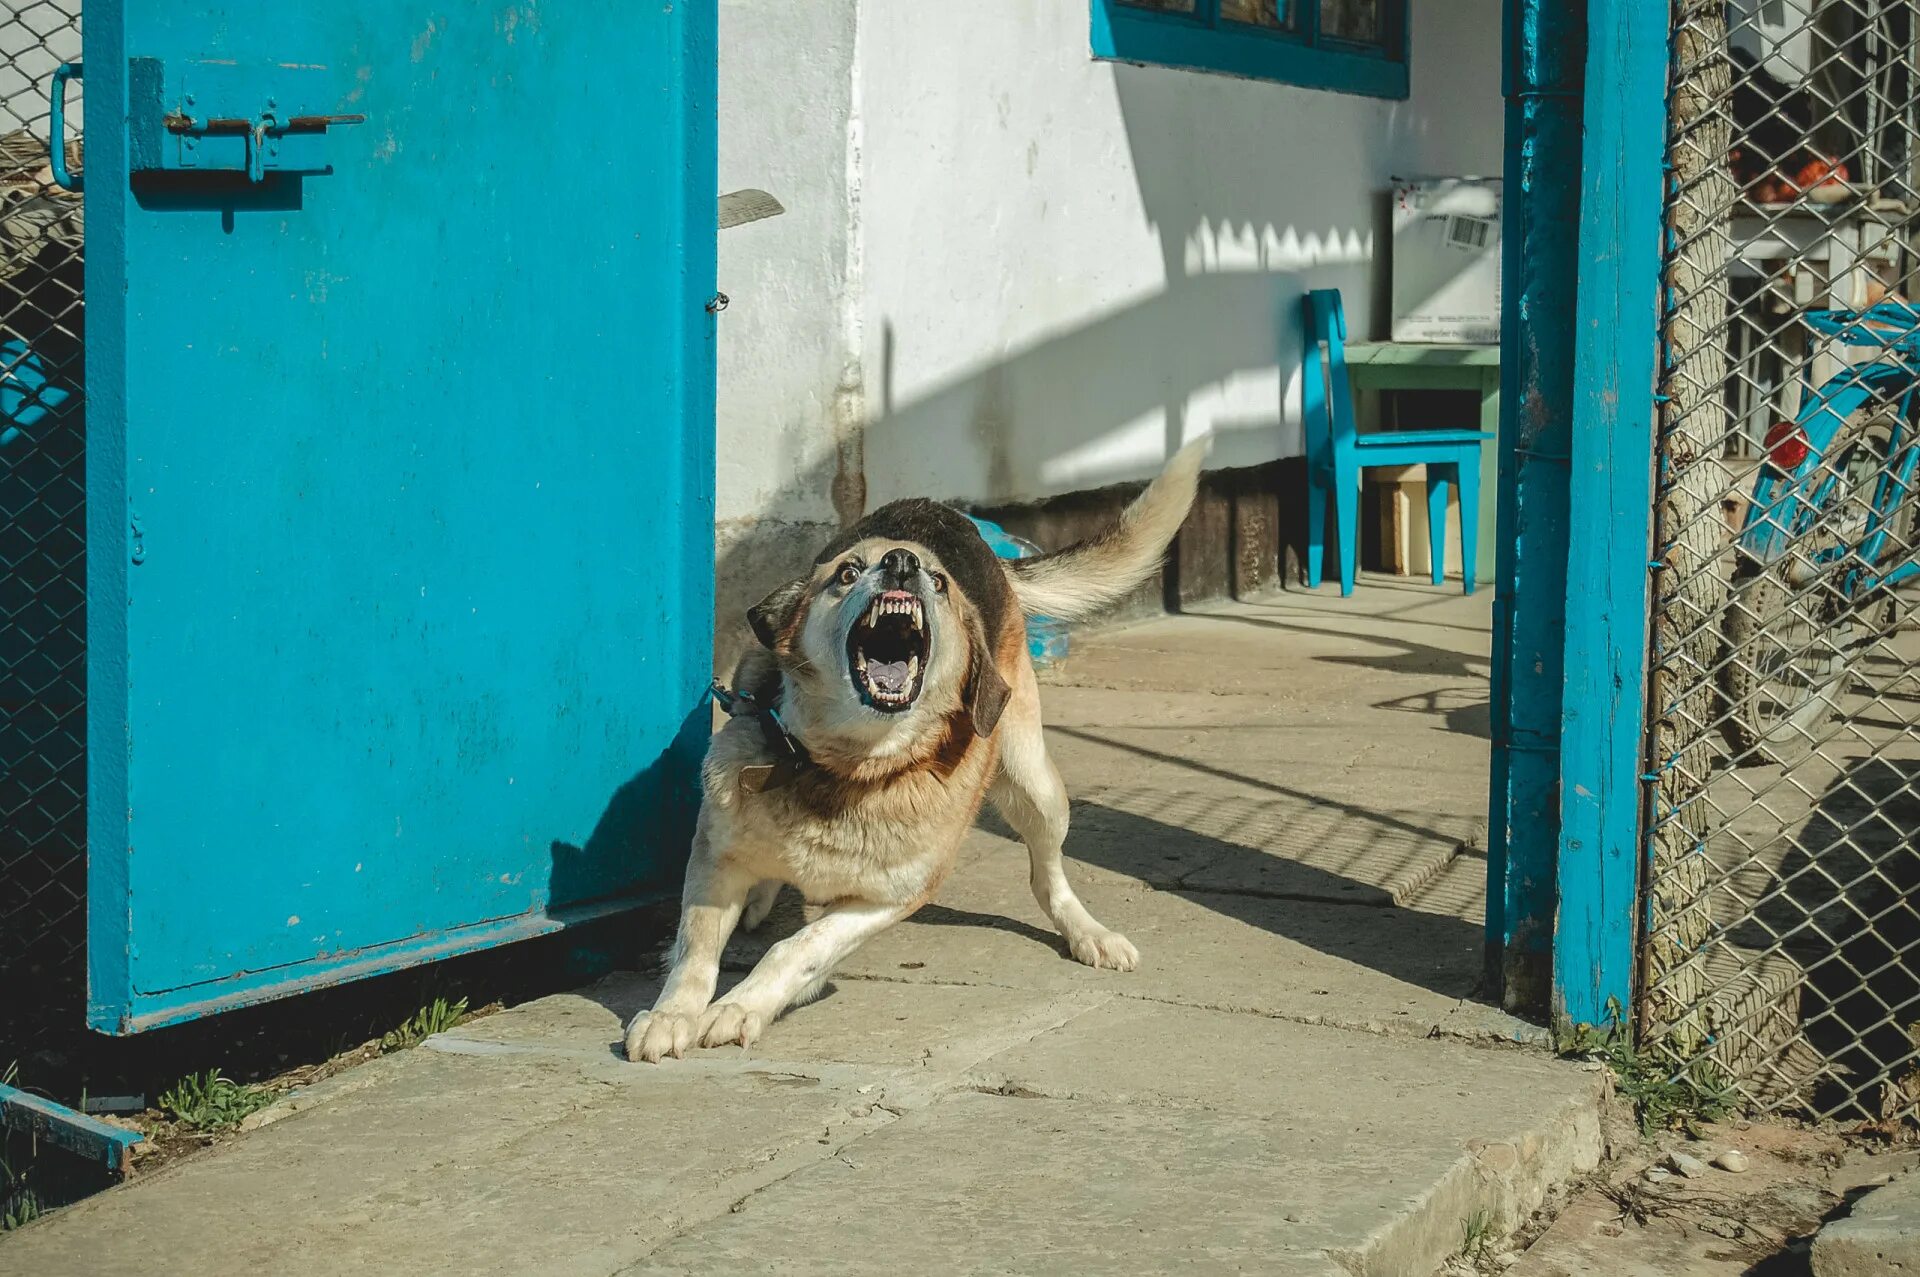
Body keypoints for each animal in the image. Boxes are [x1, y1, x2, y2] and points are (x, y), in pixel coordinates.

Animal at [622, 443, 1205, 1060]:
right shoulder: (715, 859)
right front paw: (673, 1014)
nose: (901, 562)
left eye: (940, 584)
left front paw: (739, 1008)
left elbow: (798, 949)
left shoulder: (885, 900)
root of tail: (950, 517)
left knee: (1047, 877)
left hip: (1036, 787)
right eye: (847, 572)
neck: (845, 766)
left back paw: (1089, 933)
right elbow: (694, 951)